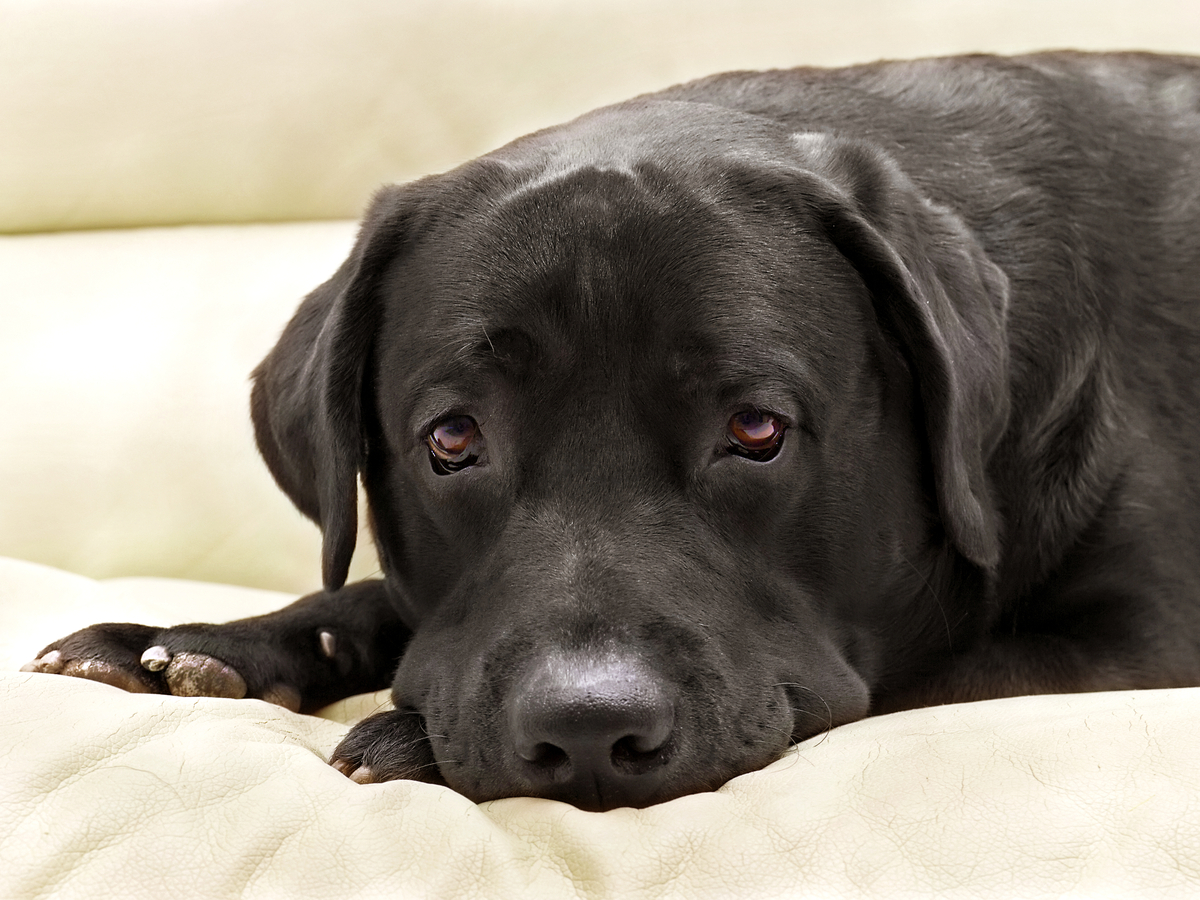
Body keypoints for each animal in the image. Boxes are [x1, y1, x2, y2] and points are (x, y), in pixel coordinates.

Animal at [23, 52, 1200, 816]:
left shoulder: (1137, 644)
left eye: (756, 428)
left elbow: (911, 676)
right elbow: (380, 596)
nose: (587, 728)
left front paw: (407, 738)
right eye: (452, 439)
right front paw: (209, 641)